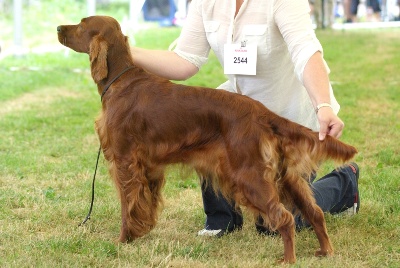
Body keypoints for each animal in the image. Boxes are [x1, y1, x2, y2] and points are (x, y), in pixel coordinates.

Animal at [57, 15, 356, 262]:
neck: (120, 81)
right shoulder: (148, 168)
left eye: (81, 24)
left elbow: (126, 206)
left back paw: (288, 259)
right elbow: (144, 206)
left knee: (284, 218)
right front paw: (140, 233)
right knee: (314, 212)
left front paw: (122, 240)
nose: (59, 28)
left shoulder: (125, 162)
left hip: (249, 176)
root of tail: (261, 112)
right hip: (287, 177)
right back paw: (325, 251)